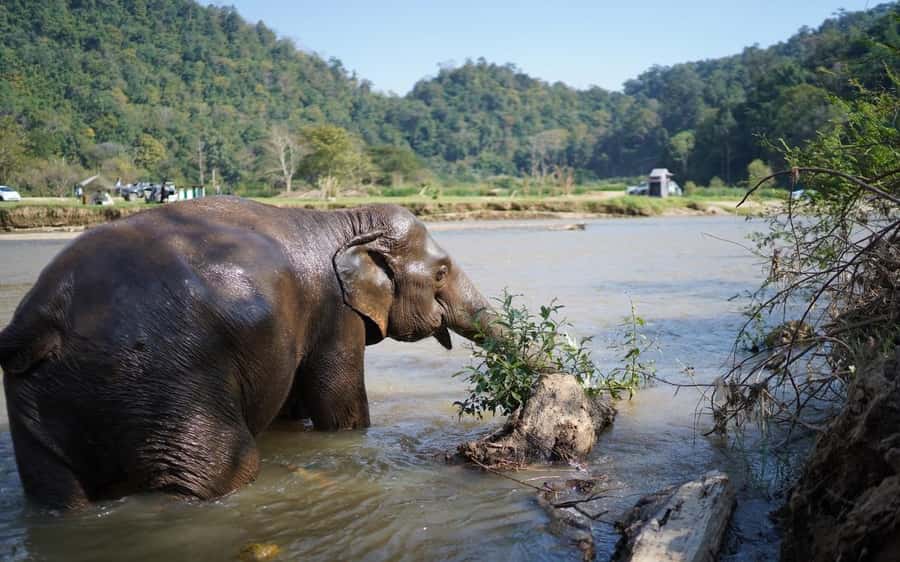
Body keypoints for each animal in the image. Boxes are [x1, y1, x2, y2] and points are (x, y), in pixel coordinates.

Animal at [0, 197, 498, 510]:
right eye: (441, 273)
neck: (344, 220)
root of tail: (41, 319)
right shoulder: (335, 312)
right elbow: (340, 408)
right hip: (166, 383)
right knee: (220, 472)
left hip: (40, 399)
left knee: (58, 494)